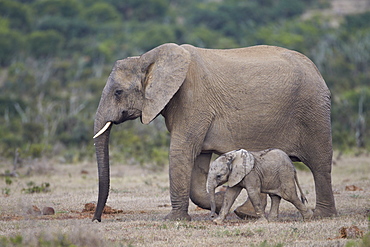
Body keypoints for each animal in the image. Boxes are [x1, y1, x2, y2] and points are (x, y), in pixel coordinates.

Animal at [92, 43, 336, 222]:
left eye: (118, 92)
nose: (97, 220)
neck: (147, 58)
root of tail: (317, 71)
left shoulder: (193, 100)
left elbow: (181, 152)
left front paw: (174, 219)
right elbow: (198, 160)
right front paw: (220, 201)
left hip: (314, 110)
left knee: (320, 164)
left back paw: (322, 216)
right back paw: (246, 213)